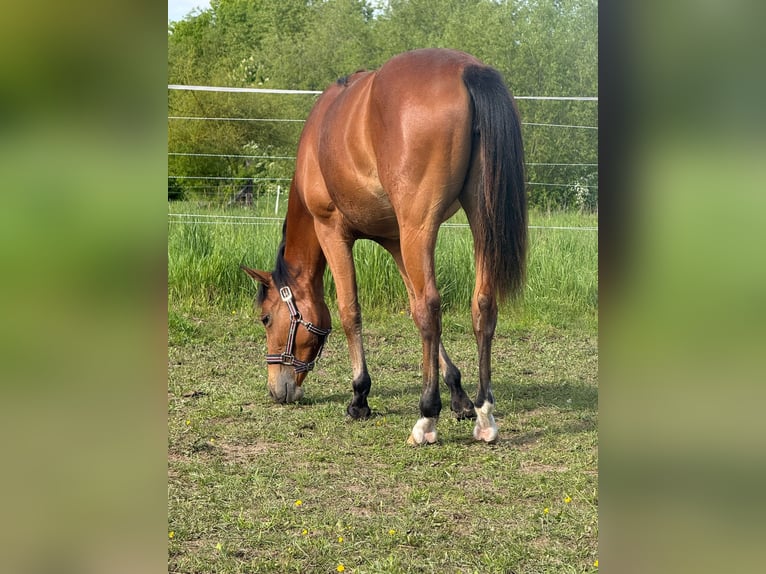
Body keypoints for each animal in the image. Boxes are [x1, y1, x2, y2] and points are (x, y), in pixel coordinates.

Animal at [242, 48, 527, 444]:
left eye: (266, 319)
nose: (276, 390)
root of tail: (467, 69)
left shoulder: (332, 231)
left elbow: (351, 312)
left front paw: (360, 396)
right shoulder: (394, 240)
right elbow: (412, 307)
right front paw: (458, 394)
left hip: (419, 225)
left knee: (431, 306)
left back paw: (426, 418)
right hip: (477, 216)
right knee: (480, 303)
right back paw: (484, 414)